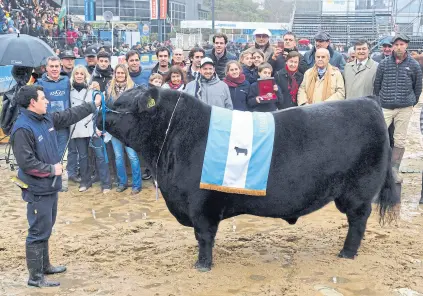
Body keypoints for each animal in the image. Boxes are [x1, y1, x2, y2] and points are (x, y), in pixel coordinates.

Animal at [98, 86, 400, 272]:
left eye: (120, 104)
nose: (101, 113)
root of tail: (368, 101)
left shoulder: (202, 204)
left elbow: (204, 236)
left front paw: (203, 265)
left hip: (357, 192)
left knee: (358, 221)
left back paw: (346, 253)